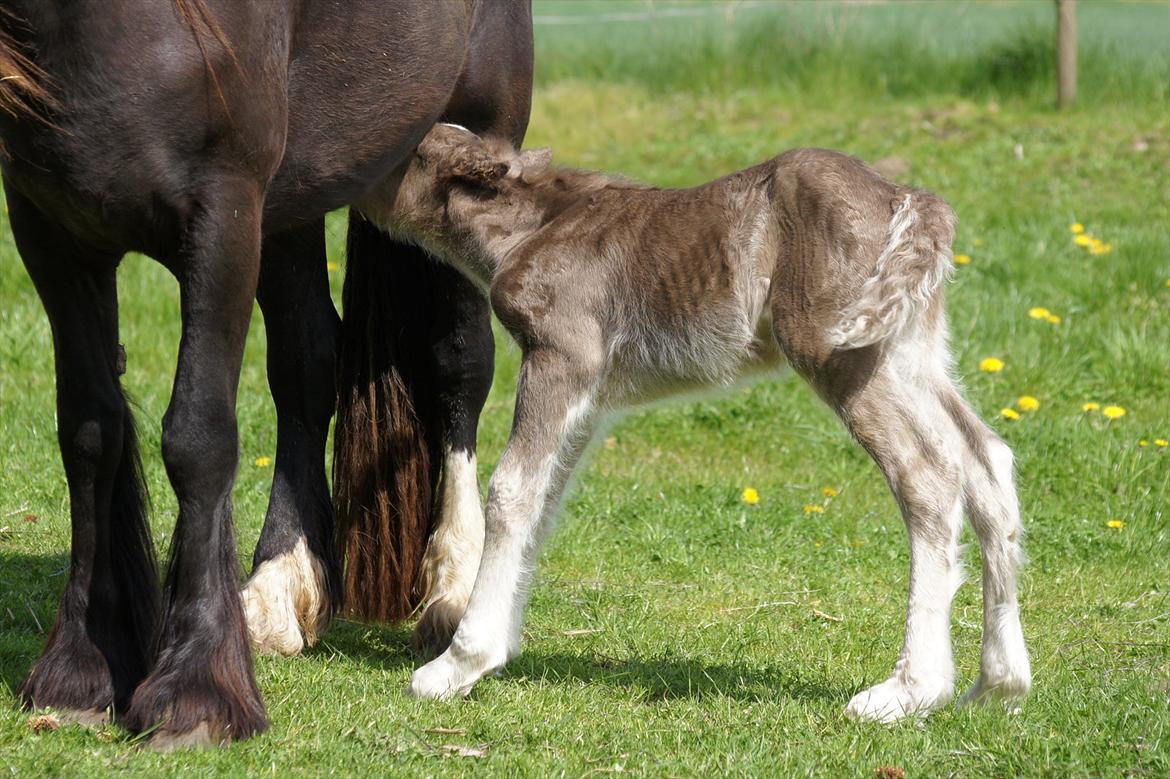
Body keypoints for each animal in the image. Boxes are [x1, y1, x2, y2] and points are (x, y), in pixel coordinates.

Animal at [2, 0, 533, 748]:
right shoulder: (52, 231)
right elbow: (89, 436)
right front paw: (79, 670)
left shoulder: (222, 219)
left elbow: (197, 439)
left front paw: (196, 691)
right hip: (294, 201)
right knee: (307, 363)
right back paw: (279, 589)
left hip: (473, 137)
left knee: (459, 361)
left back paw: (454, 590)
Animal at [369, 122, 1029, 720]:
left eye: (408, 149)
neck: (528, 225)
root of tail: (913, 202)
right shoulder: (592, 397)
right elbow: (547, 499)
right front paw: (496, 651)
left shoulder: (561, 356)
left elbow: (511, 491)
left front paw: (457, 665)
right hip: (909, 347)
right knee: (985, 459)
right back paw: (999, 684)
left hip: (841, 349)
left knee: (928, 475)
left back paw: (910, 690)